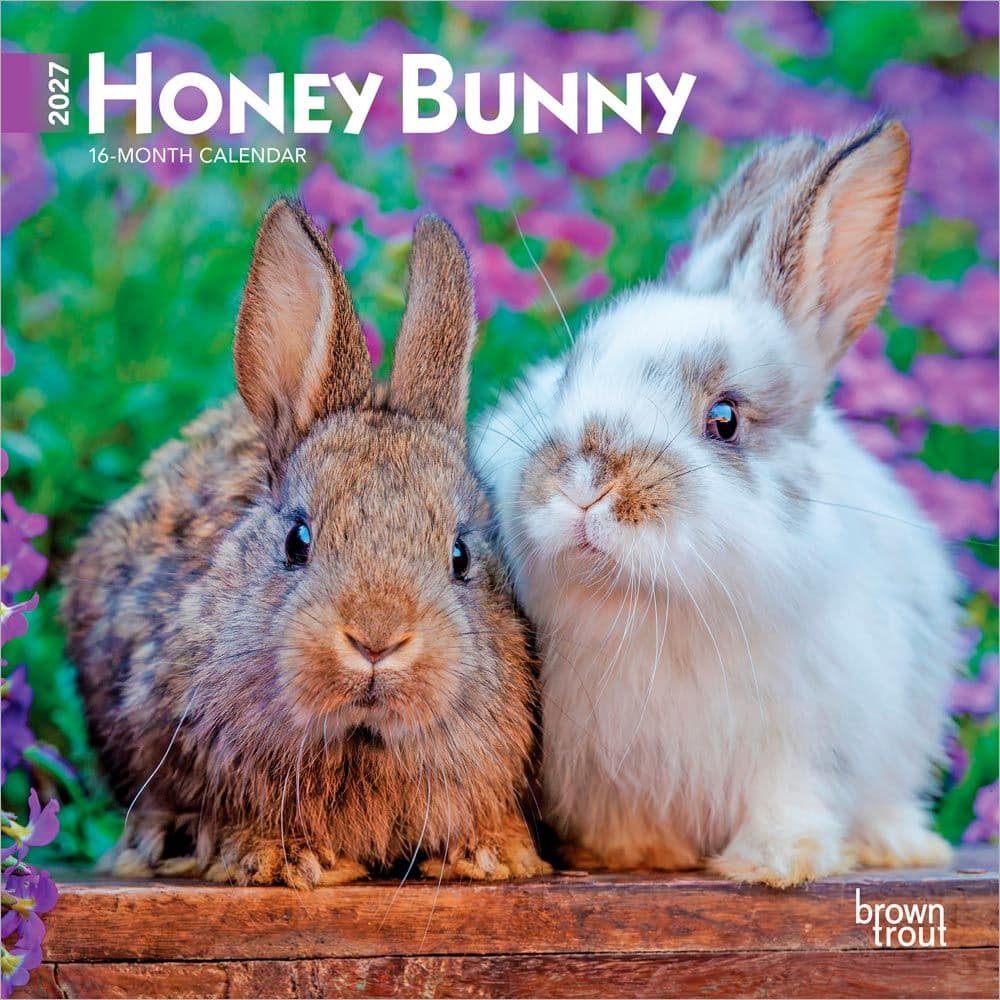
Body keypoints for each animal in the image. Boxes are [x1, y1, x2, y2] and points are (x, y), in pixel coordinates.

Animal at [63, 199, 551, 888]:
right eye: (297, 540)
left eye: (461, 557)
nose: (376, 638)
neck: (362, 739)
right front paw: (286, 858)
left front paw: (494, 854)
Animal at [473, 119, 959, 887]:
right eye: (565, 376)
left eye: (725, 419)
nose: (584, 482)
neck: (655, 616)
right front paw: (630, 854)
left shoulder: (804, 749)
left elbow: (790, 803)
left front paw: (775, 864)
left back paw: (902, 846)